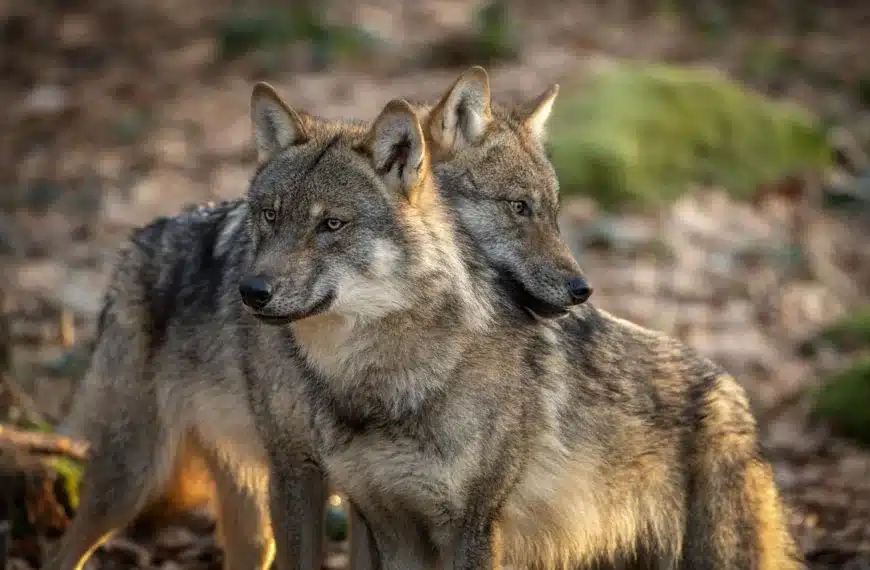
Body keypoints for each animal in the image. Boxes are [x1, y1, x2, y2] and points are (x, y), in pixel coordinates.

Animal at [46, 65, 588, 570]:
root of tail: (139, 238)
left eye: (551, 212)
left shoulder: (363, 486)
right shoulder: (298, 470)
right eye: (519, 207)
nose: (583, 289)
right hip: (130, 479)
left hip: (243, 516)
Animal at [241, 87, 804, 570]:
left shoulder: (472, 527)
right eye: (269, 216)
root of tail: (734, 390)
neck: (381, 379)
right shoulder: (391, 526)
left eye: (331, 224)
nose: (251, 290)